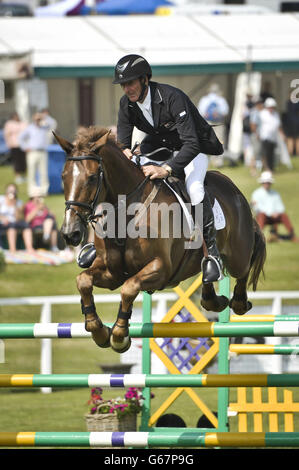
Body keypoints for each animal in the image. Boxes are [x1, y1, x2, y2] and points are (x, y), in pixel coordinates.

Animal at [54, 126, 268, 352]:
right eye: (63, 176)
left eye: (92, 178)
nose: (70, 233)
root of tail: (235, 191)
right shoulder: (112, 273)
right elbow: (83, 281)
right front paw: (99, 330)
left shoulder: (160, 268)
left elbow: (129, 288)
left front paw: (119, 336)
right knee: (208, 280)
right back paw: (214, 297)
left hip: (237, 255)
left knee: (243, 269)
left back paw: (239, 302)